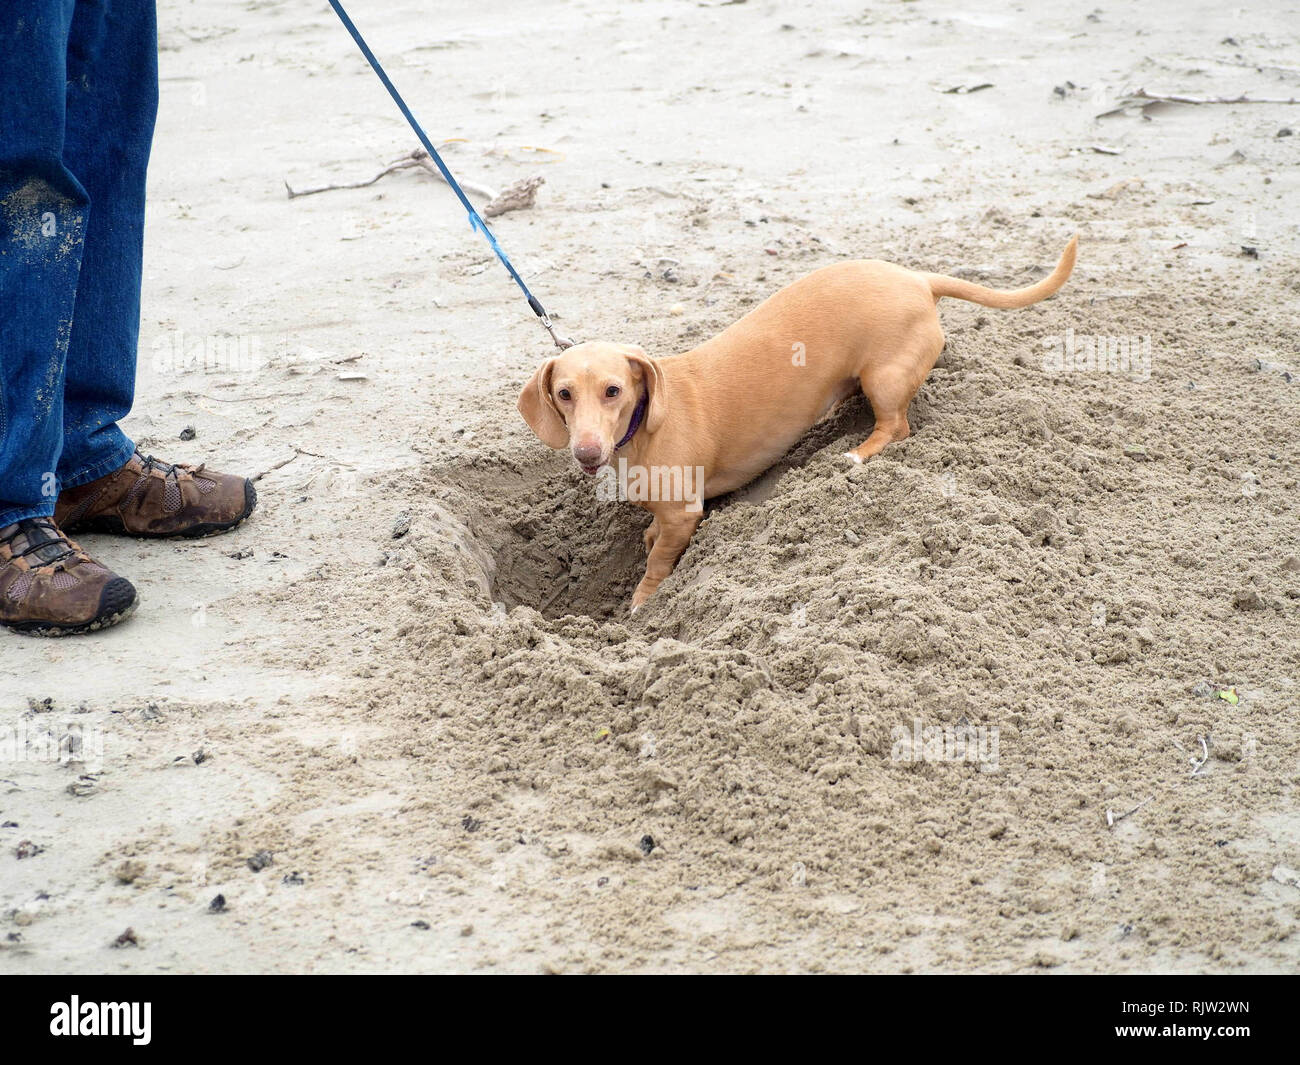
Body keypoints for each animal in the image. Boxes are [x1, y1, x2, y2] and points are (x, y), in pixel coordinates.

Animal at [517, 237, 1076, 611]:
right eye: (564, 394)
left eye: (613, 390)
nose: (587, 453)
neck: (641, 432)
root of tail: (916, 278)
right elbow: (652, 536)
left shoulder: (684, 513)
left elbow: (658, 564)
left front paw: (642, 601)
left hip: (886, 379)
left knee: (895, 428)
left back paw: (854, 454)